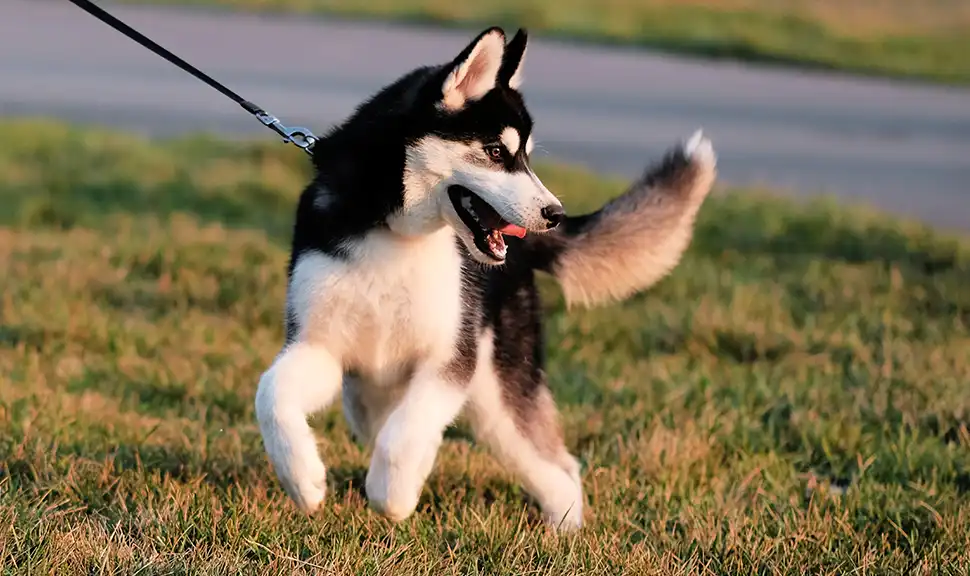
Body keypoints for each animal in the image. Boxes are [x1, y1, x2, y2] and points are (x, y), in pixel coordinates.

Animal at [253, 25, 716, 532]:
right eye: (496, 152)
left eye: (527, 157)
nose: (554, 214)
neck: (394, 236)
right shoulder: (319, 347)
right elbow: (270, 395)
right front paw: (304, 481)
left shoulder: (453, 358)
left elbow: (404, 435)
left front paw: (392, 496)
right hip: (370, 396)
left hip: (496, 397)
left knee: (556, 464)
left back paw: (566, 530)